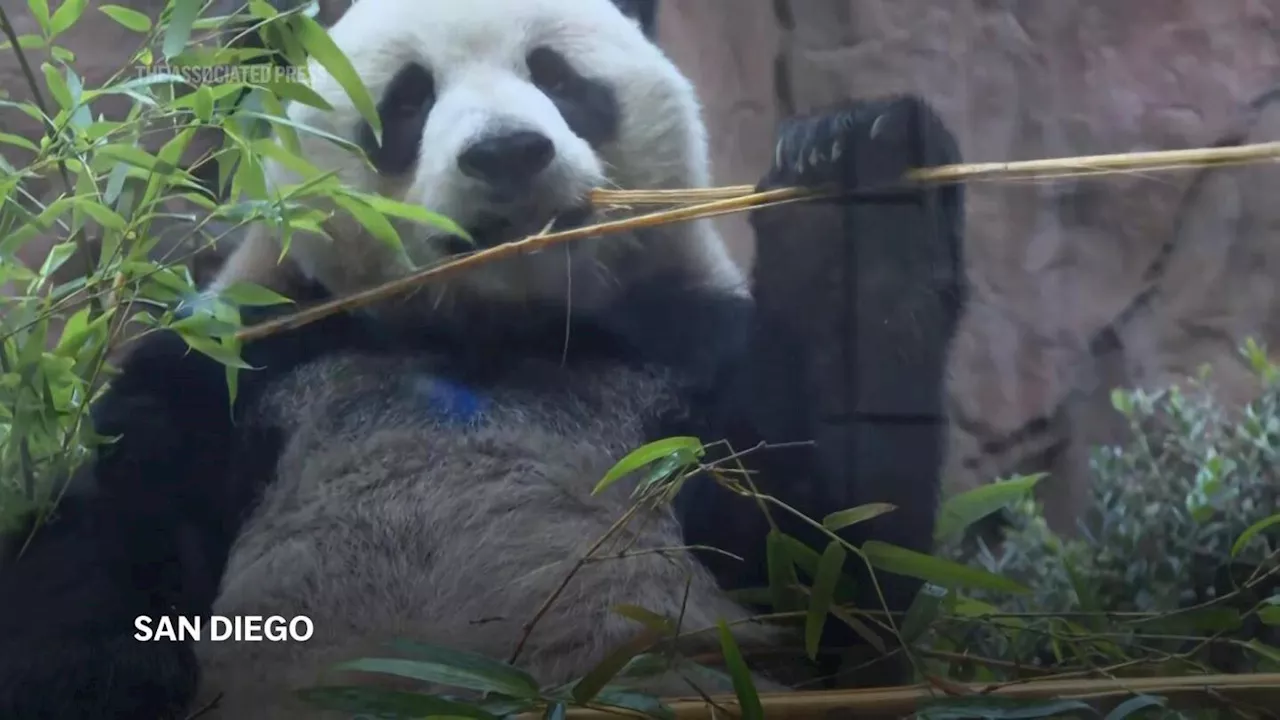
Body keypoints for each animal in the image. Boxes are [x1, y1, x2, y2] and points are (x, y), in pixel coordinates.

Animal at [0, 1, 962, 717]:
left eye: (559, 78)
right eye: (407, 101)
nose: (506, 151)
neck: (492, 332)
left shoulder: (682, 359)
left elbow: (830, 563)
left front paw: (854, 158)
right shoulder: (241, 370)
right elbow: (106, 564)